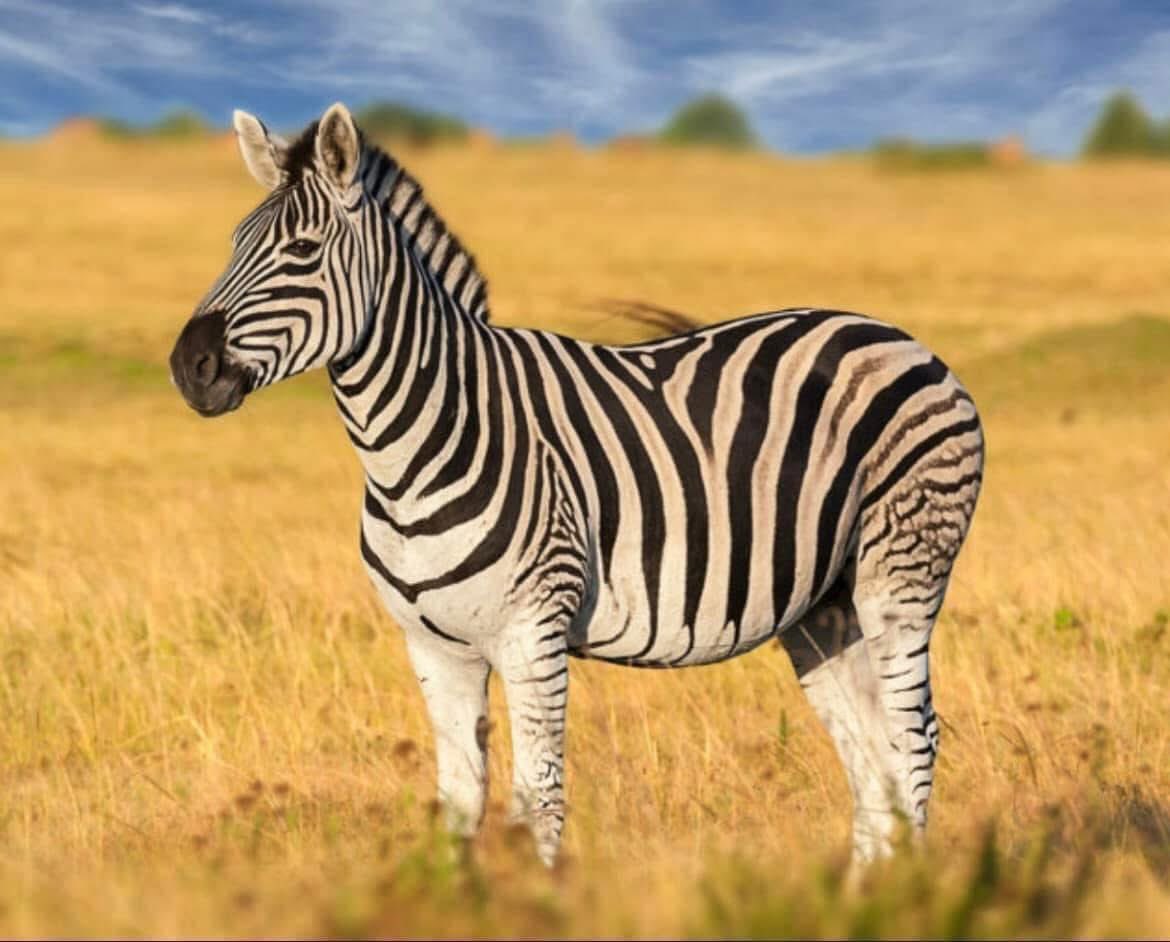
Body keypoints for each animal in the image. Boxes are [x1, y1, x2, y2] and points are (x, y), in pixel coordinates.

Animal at [170, 103, 984, 867]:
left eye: (301, 251)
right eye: (234, 244)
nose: (189, 367)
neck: (415, 448)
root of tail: (895, 335)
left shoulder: (534, 631)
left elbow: (540, 801)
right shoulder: (433, 645)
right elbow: (461, 801)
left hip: (900, 572)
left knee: (913, 741)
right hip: (823, 606)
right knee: (871, 755)